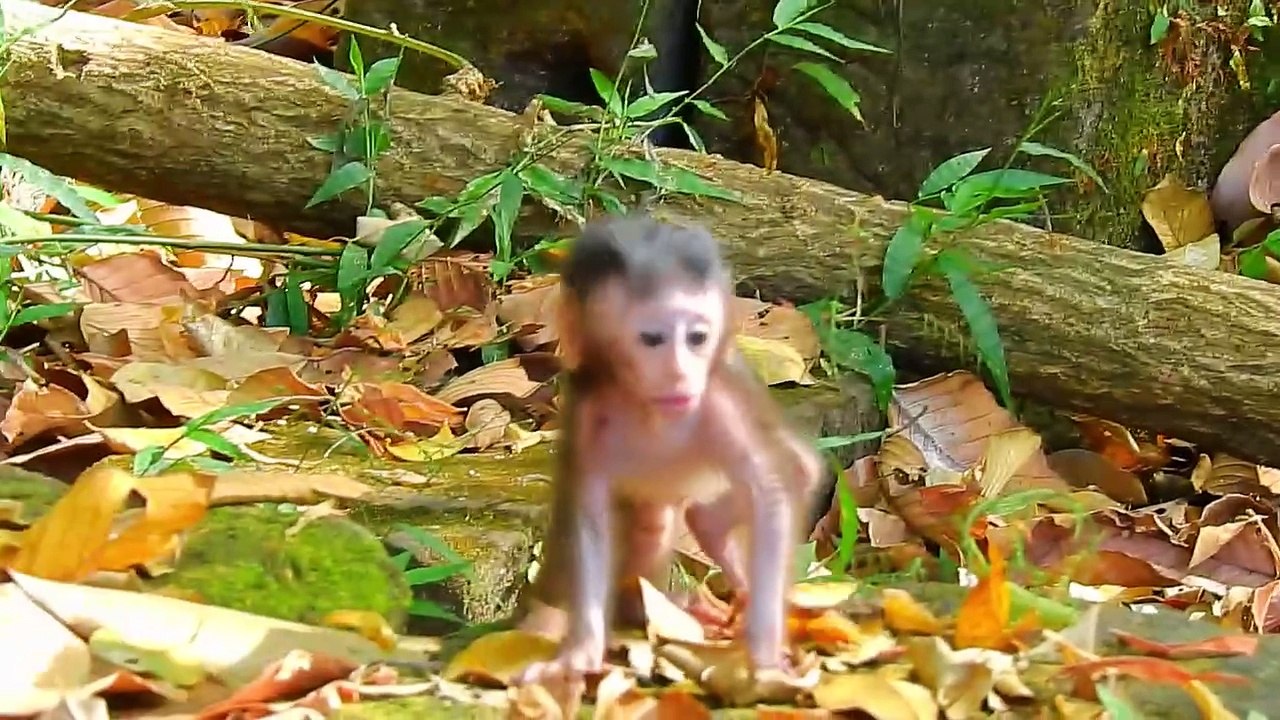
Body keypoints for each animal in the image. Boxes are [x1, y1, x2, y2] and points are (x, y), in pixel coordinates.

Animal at [514, 214, 824, 688]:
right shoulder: (586, 413)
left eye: (696, 338)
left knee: (797, 470)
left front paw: (766, 659)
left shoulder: (719, 404)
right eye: (652, 338)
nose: (680, 373)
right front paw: (578, 652)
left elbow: (771, 491)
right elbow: (589, 514)